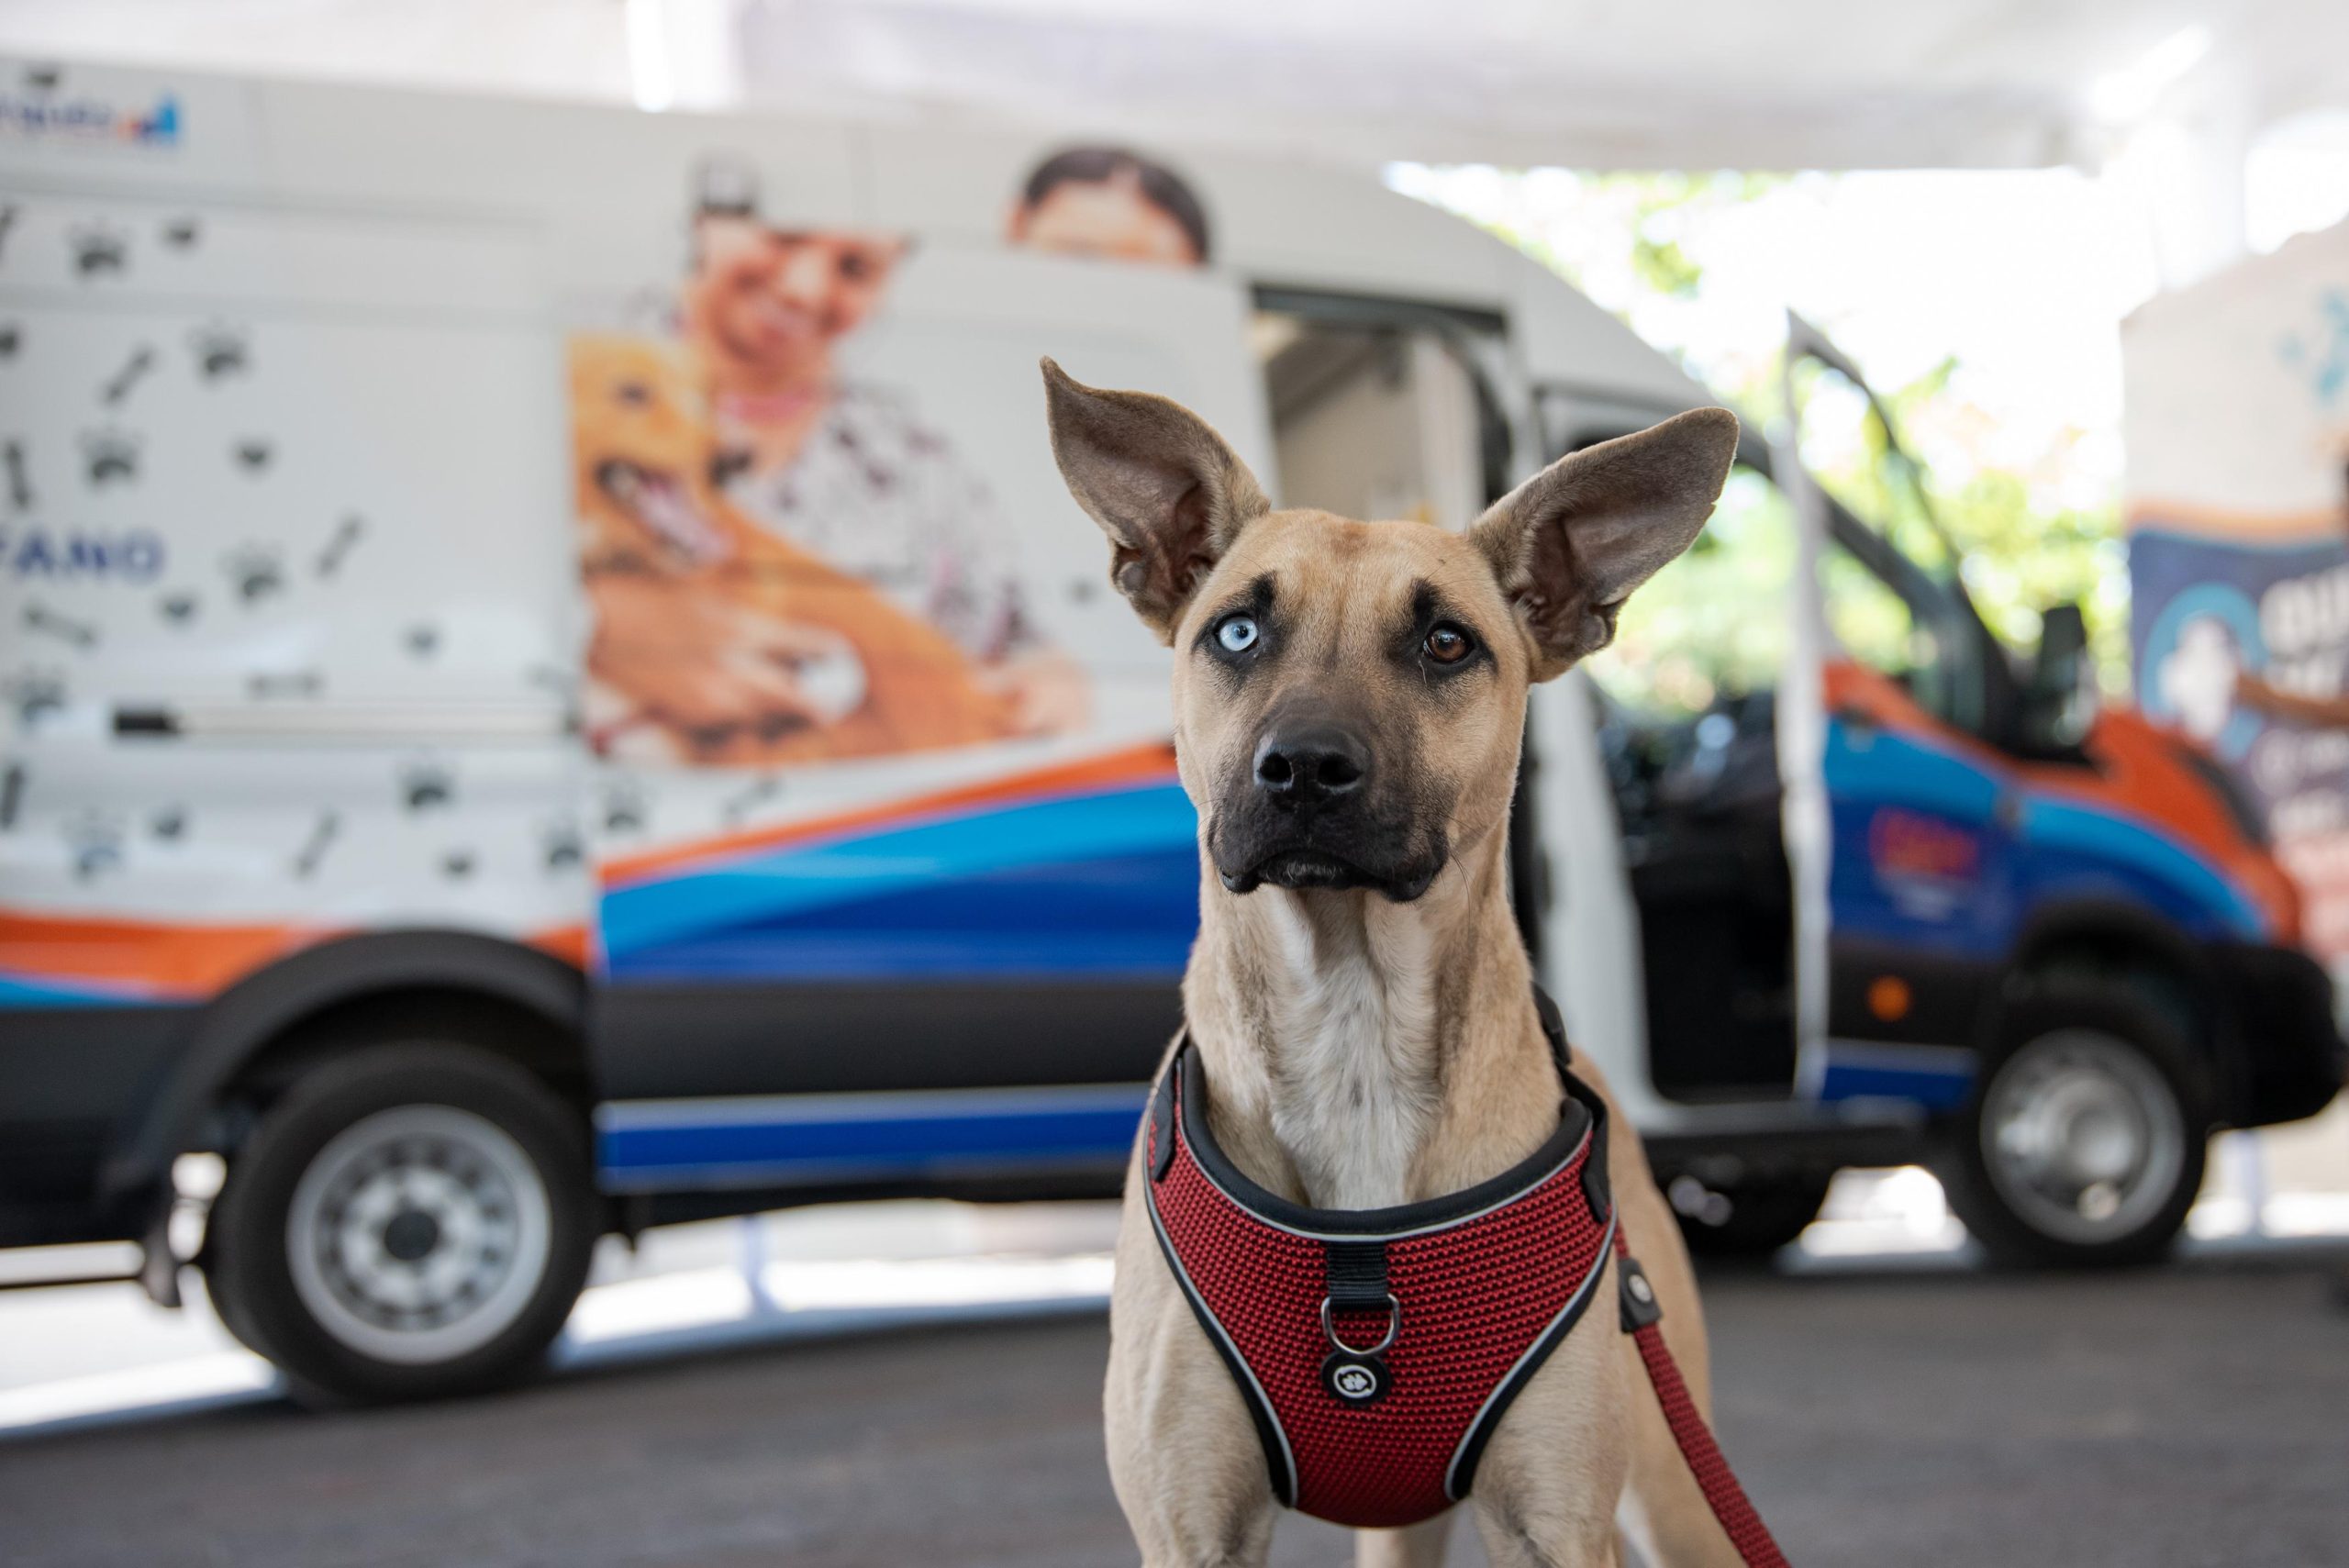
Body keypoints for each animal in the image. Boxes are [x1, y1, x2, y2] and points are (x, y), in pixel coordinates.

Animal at [1047, 359, 1747, 1568]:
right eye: (1237, 631)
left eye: (1446, 644)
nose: (1303, 766)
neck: (1354, 1020)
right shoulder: (1190, 1526)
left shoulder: (1559, 1522)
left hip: (1676, 1490)